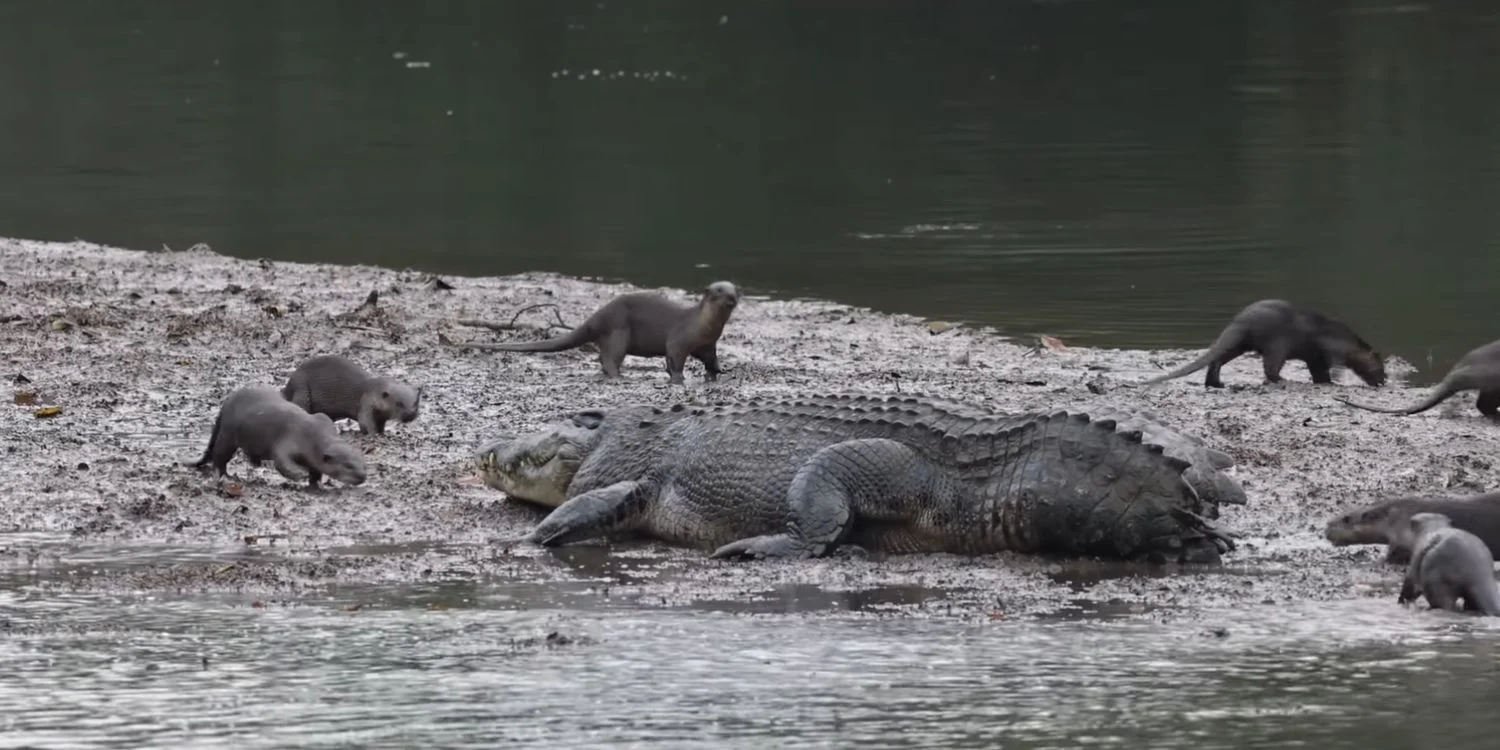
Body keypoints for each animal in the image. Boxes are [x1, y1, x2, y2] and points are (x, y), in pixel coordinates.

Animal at [281, 354, 421, 435]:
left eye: (416, 403)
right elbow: (366, 424)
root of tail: (289, 384)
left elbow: (380, 425)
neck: (373, 392)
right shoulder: (366, 405)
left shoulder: (381, 416)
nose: (410, 415)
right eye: (399, 404)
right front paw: (374, 434)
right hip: (301, 387)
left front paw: (382, 433)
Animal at [476, 281, 740, 384]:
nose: (731, 296)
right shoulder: (678, 339)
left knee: (601, 357)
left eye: (734, 289)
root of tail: (597, 317)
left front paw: (717, 373)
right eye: (719, 290)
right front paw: (678, 378)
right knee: (610, 358)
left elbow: (711, 360)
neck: (702, 326)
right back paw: (619, 376)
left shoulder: (708, 345)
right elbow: (673, 359)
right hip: (619, 332)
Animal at [1136, 299, 1386, 389]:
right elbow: (1331, 366)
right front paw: (1335, 380)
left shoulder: (1314, 358)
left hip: (1239, 345)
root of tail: (1241, 321)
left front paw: (1326, 382)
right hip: (1278, 345)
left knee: (1217, 361)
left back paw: (1216, 383)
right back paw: (1283, 380)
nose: (1384, 380)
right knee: (1270, 368)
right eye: (1380, 368)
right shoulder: (1328, 351)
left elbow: (1319, 372)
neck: (1344, 340)